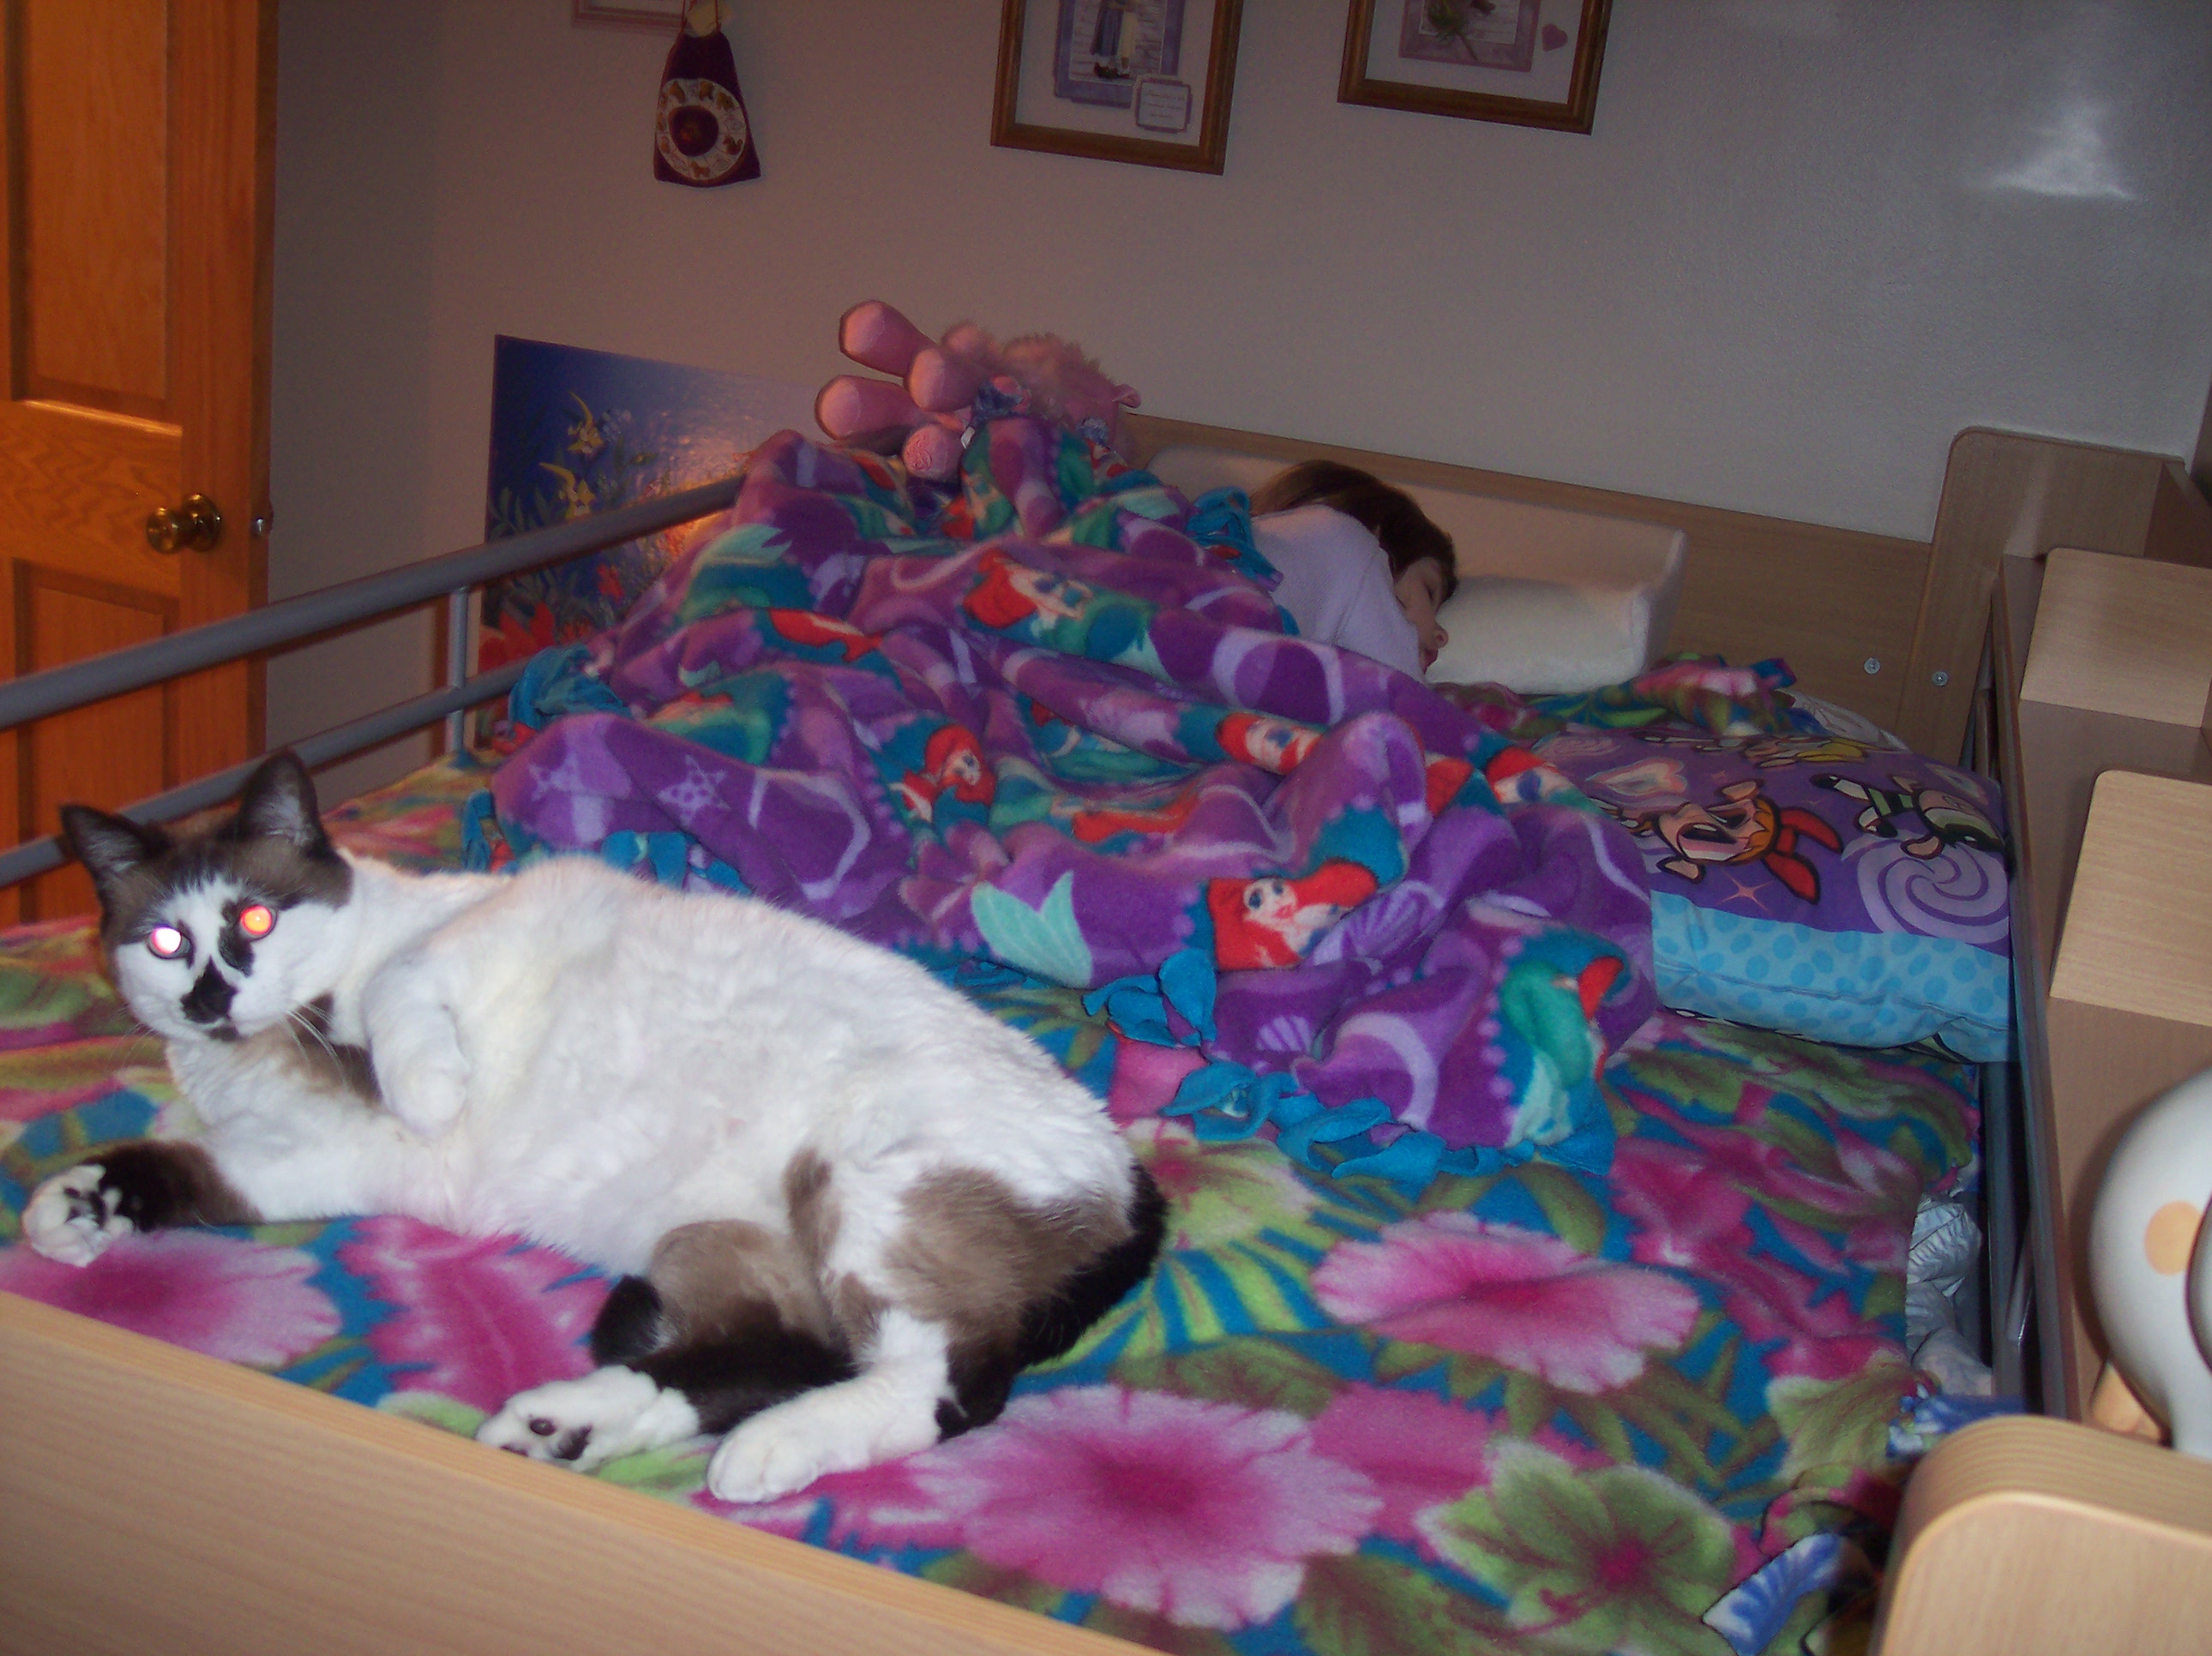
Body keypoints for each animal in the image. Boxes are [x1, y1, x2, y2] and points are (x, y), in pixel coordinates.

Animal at [21, 752, 1163, 1503]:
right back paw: (565, 1428)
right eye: (166, 941)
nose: (212, 994)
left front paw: (426, 1079)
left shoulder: (498, 925)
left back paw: (759, 1456)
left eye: (254, 919)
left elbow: (399, 992)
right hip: (719, 1236)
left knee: (954, 1384)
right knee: (779, 1351)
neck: (284, 1038)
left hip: (863, 1192)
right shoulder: (321, 1162)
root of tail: (1125, 1159)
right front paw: (72, 1209)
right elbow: (178, 1168)